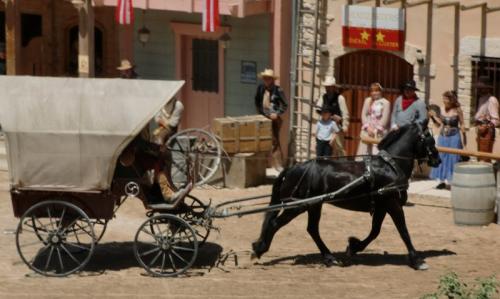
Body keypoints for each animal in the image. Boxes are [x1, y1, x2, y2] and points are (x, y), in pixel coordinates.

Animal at [252, 120, 440, 270]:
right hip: (298, 206)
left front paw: (354, 246)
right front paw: (417, 261)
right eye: (429, 137)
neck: (391, 166)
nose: (438, 160)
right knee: (276, 223)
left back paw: (329, 257)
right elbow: (403, 232)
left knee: (312, 229)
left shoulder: (381, 206)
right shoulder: (392, 204)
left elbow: (375, 231)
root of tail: (292, 169)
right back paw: (260, 249)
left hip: (314, 205)